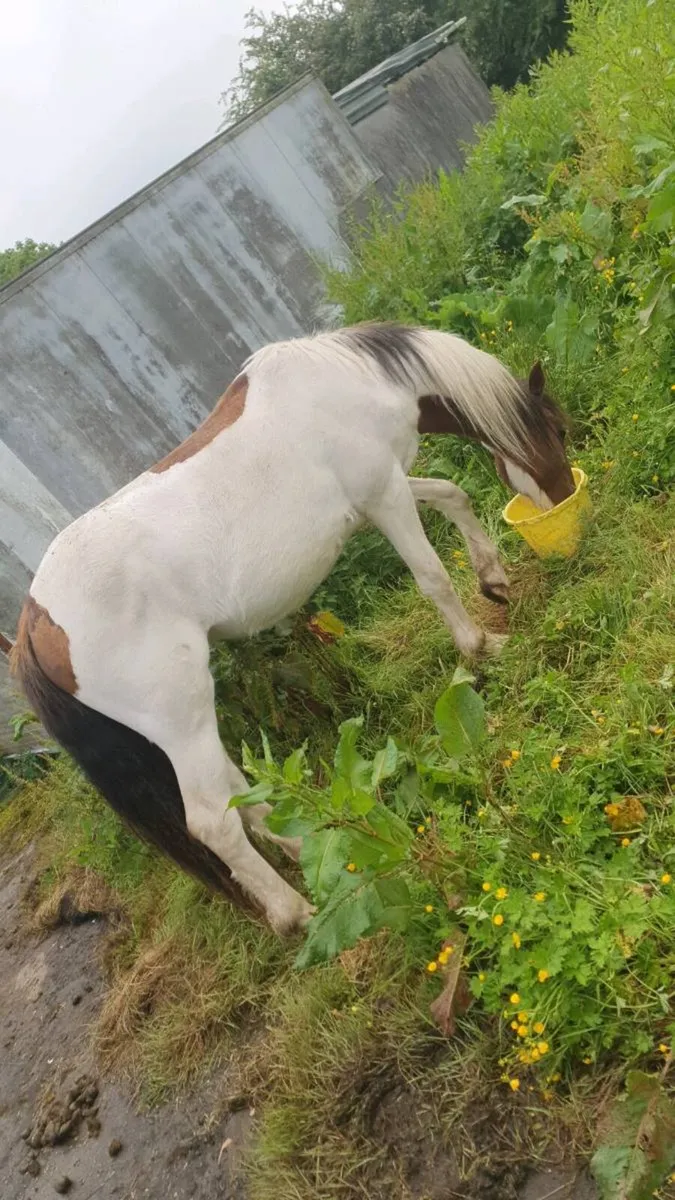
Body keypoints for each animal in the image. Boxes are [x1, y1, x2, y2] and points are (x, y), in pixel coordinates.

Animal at [11, 322, 574, 934]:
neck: (355, 379)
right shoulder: (383, 493)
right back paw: (293, 912)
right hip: (180, 719)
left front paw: (493, 579)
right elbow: (433, 578)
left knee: (240, 794)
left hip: (184, 727)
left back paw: (309, 852)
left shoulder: (384, 489)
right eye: (559, 431)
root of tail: (36, 622)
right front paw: (480, 646)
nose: (568, 506)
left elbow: (453, 493)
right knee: (211, 821)